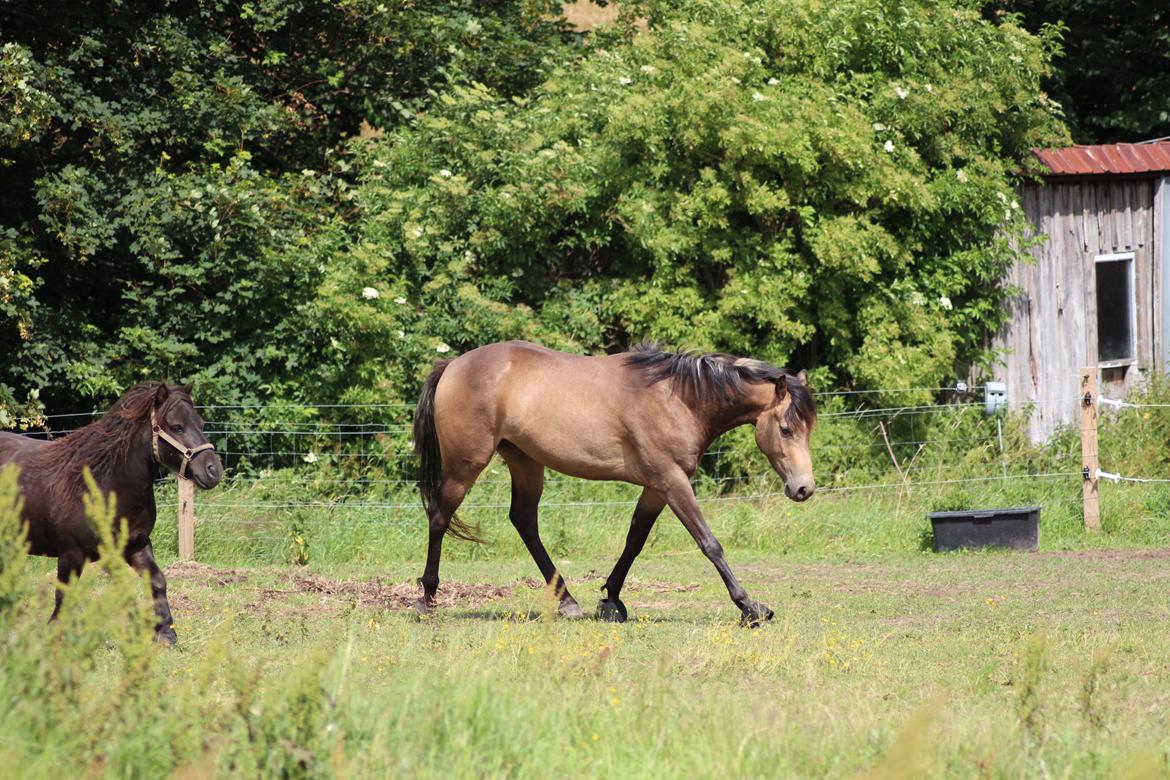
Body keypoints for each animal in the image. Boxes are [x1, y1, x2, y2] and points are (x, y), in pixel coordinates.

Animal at [0, 381, 222, 645]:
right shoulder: (71, 553)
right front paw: (55, 634)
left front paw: (165, 632)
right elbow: (63, 595)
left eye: (201, 424)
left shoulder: (136, 544)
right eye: (177, 427)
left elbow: (157, 580)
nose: (213, 470)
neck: (104, 484)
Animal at [416, 339, 819, 626]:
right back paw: (427, 598)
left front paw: (611, 600)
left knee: (524, 521)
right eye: (786, 429)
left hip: (525, 461)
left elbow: (635, 540)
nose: (804, 489)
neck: (678, 399)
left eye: (808, 428)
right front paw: (750, 607)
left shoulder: (656, 487)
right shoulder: (672, 481)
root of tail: (452, 365)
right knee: (439, 516)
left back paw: (568, 602)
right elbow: (709, 543)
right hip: (466, 463)